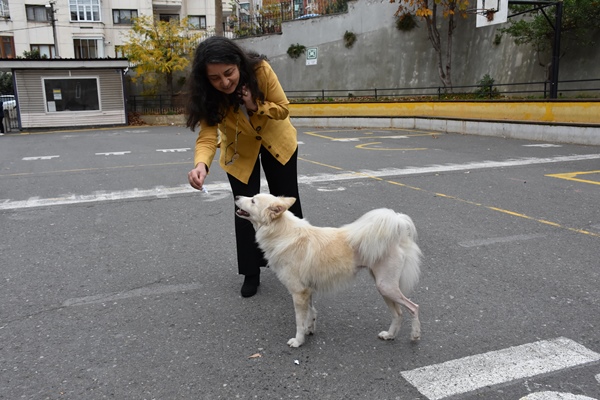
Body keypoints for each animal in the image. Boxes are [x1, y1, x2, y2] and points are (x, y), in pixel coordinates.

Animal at [234, 194, 422, 346]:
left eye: (253, 200)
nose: (236, 196)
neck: (282, 233)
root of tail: (398, 233)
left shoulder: (298, 293)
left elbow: (299, 321)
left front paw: (298, 341)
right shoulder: (307, 291)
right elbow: (311, 312)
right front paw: (310, 329)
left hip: (386, 287)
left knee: (413, 307)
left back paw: (415, 335)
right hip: (384, 288)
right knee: (398, 314)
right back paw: (390, 335)